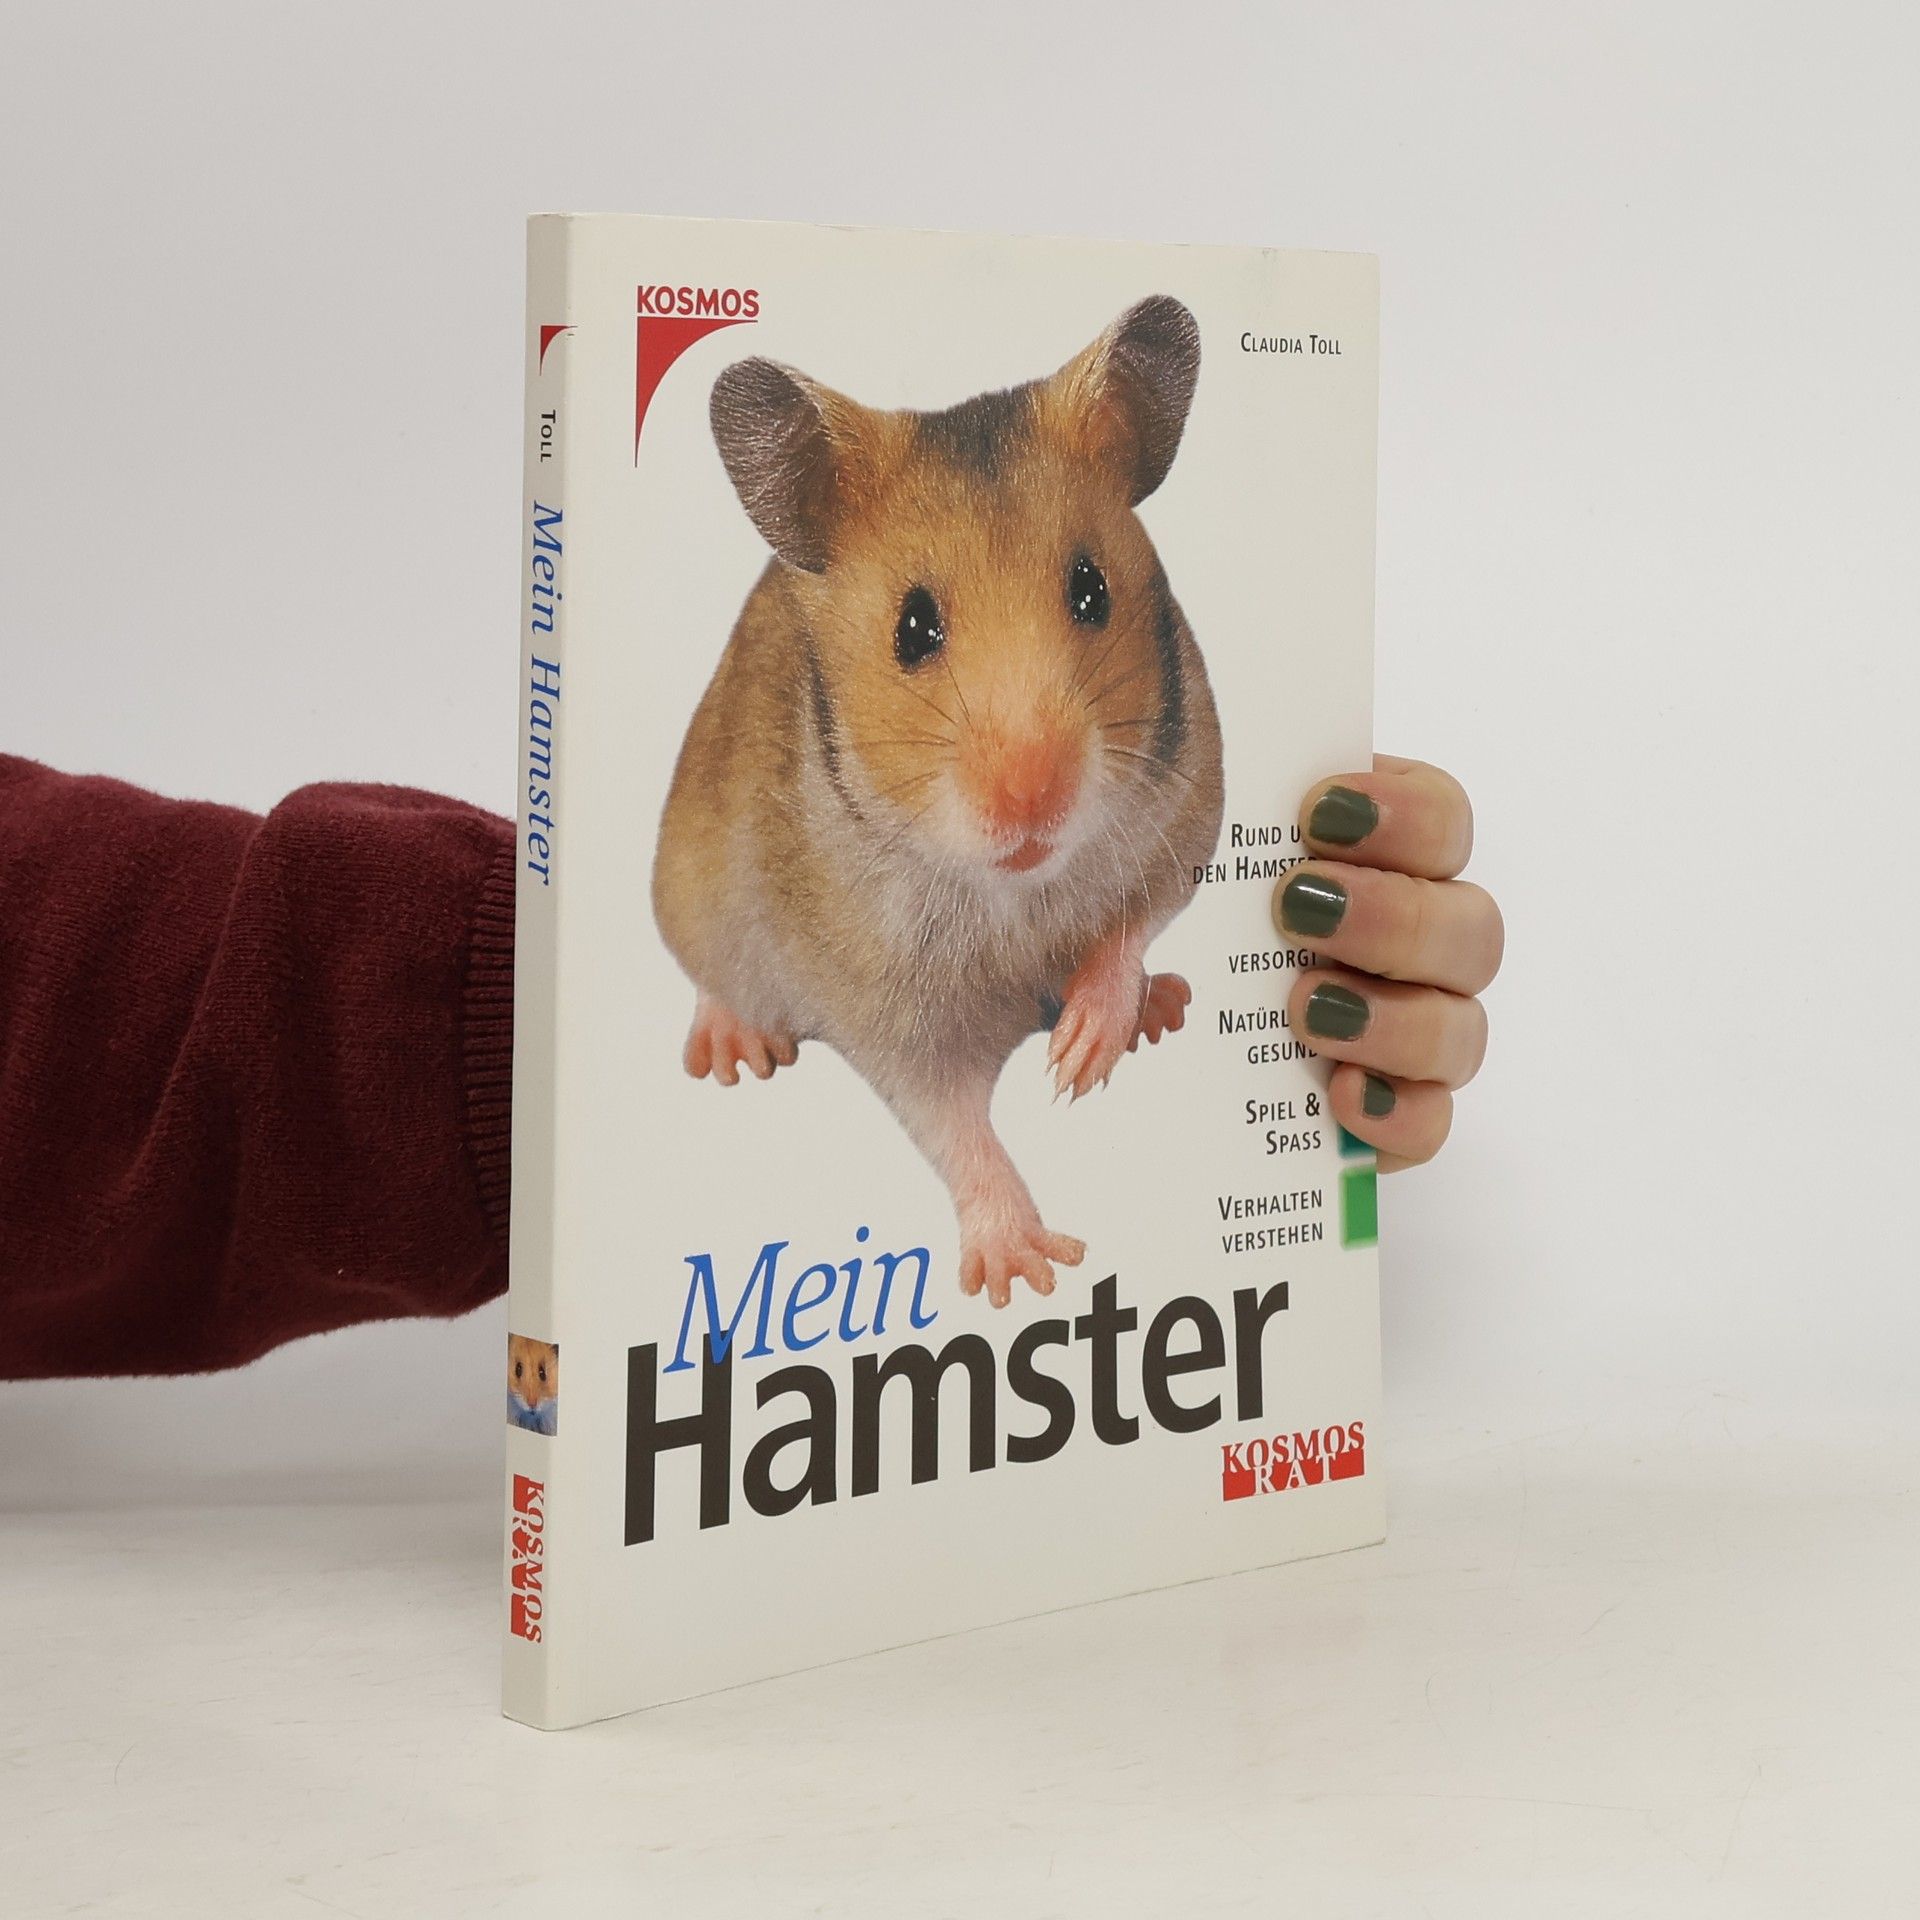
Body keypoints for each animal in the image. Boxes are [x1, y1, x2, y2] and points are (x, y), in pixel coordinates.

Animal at [653, 296, 1225, 1309]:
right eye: (912, 627)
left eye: (1092, 590)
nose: (1034, 799)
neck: (1015, 891)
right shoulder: (893, 1020)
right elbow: (955, 1126)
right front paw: (1024, 1275)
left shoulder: (1187, 814)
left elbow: (1128, 928)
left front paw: (1081, 1057)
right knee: (715, 981)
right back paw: (735, 1051)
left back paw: (1162, 1008)